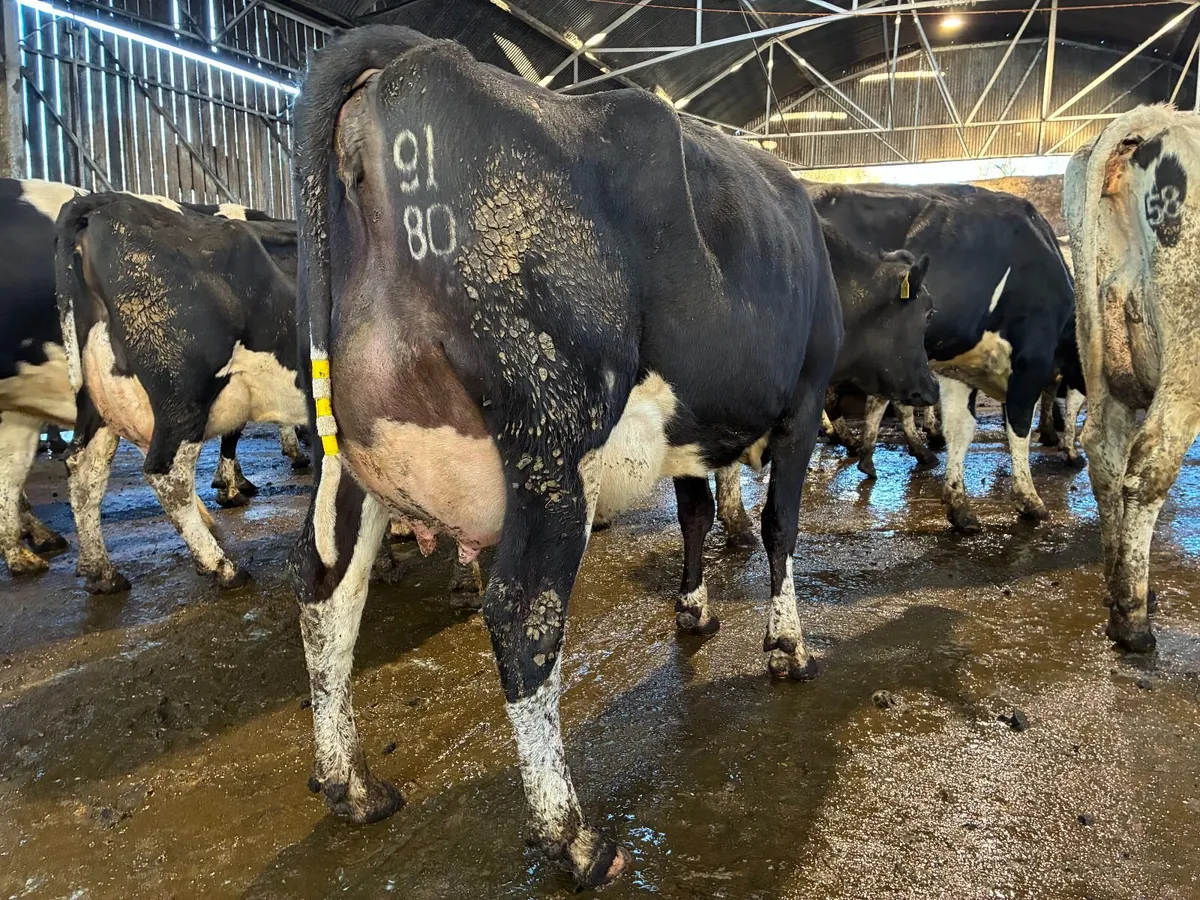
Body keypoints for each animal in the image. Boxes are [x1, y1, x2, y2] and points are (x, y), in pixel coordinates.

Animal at [288, 26, 936, 887]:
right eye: (921, 316)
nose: (929, 385)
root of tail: (411, 64)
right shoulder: (798, 410)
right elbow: (779, 528)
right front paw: (788, 646)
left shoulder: (692, 430)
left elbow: (695, 516)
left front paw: (694, 609)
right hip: (551, 449)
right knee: (523, 616)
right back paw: (576, 838)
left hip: (350, 456)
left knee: (326, 595)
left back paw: (350, 786)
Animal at [801, 181, 1082, 532]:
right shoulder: (1033, 355)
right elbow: (1022, 423)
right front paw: (1031, 496)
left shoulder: (959, 368)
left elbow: (960, 428)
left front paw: (958, 504)